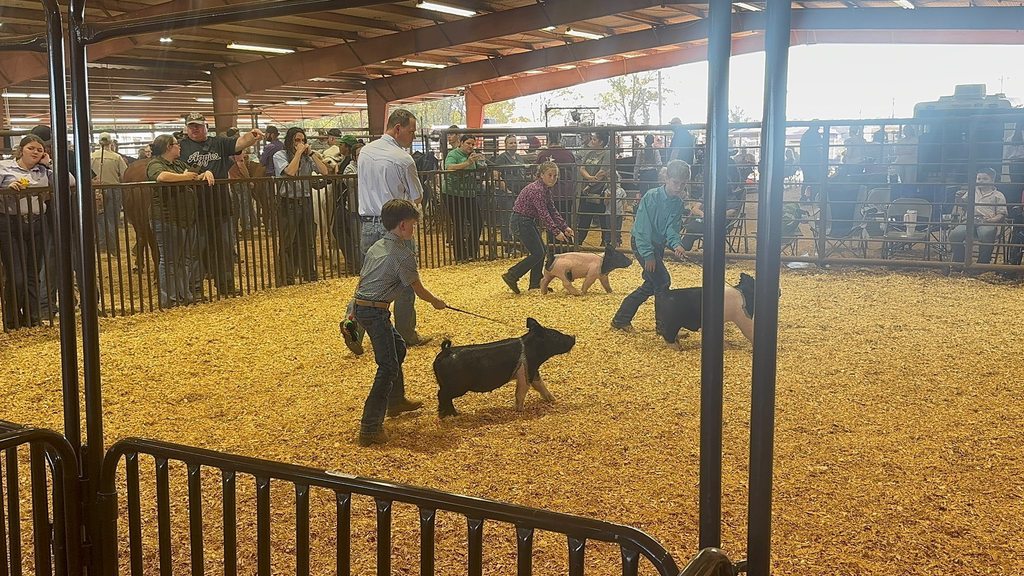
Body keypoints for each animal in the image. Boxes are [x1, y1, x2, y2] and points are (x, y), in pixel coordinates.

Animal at [433, 318, 576, 418]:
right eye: (555, 336)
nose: (573, 336)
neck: (531, 348)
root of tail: (445, 351)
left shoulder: (533, 370)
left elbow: (540, 384)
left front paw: (552, 399)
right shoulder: (525, 372)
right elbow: (521, 391)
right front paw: (520, 410)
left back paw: (448, 414)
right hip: (457, 386)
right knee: (442, 395)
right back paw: (450, 415)